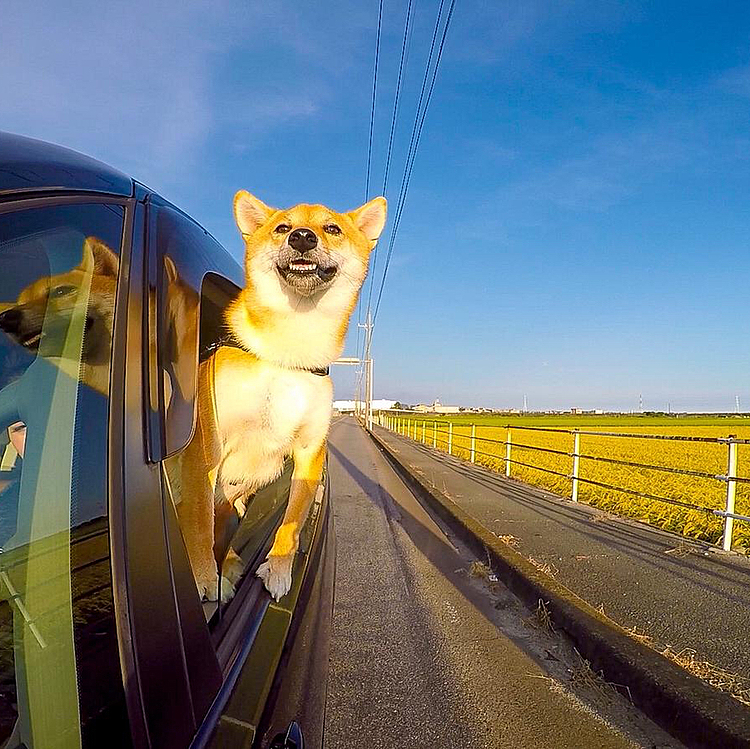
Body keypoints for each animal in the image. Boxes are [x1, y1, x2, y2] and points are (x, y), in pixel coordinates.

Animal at [173, 190, 388, 600]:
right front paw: (202, 575)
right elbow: (196, 520)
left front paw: (279, 568)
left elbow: (290, 524)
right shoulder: (205, 450)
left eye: (332, 228)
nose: (302, 237)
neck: (289, 354)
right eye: (282, 227)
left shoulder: (309, 452)